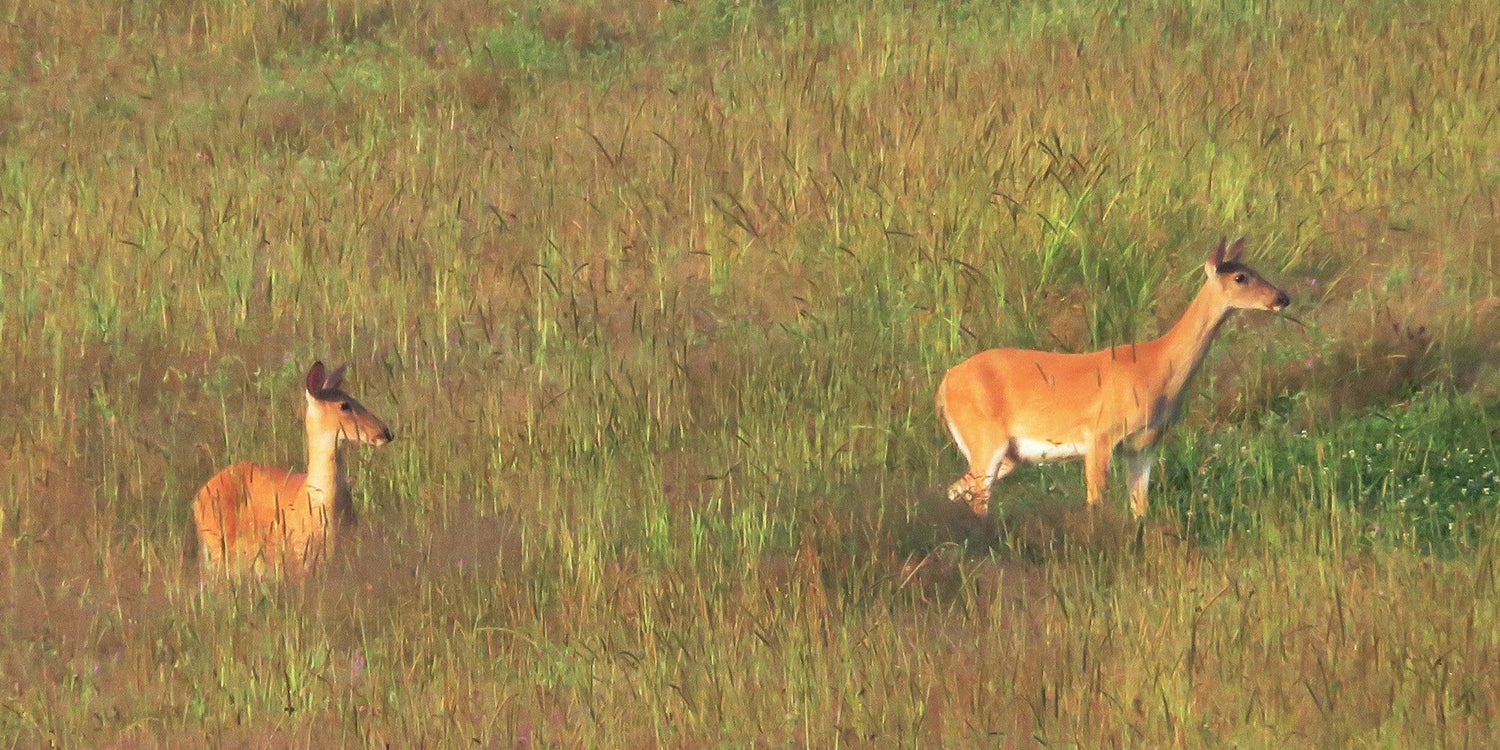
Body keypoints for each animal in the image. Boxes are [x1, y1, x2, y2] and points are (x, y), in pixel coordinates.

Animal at [936, 237, 1291, 519]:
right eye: (1240, 277)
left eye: (1255, 269)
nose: (1282, 298)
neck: (1157, 368)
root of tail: (945, 384)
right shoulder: (1100, 434)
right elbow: (1096, 503)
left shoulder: (1145, 444)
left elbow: (1140, 507)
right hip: (986, 436)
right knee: (978, 501)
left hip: (1005, 453)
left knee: (956, 491)